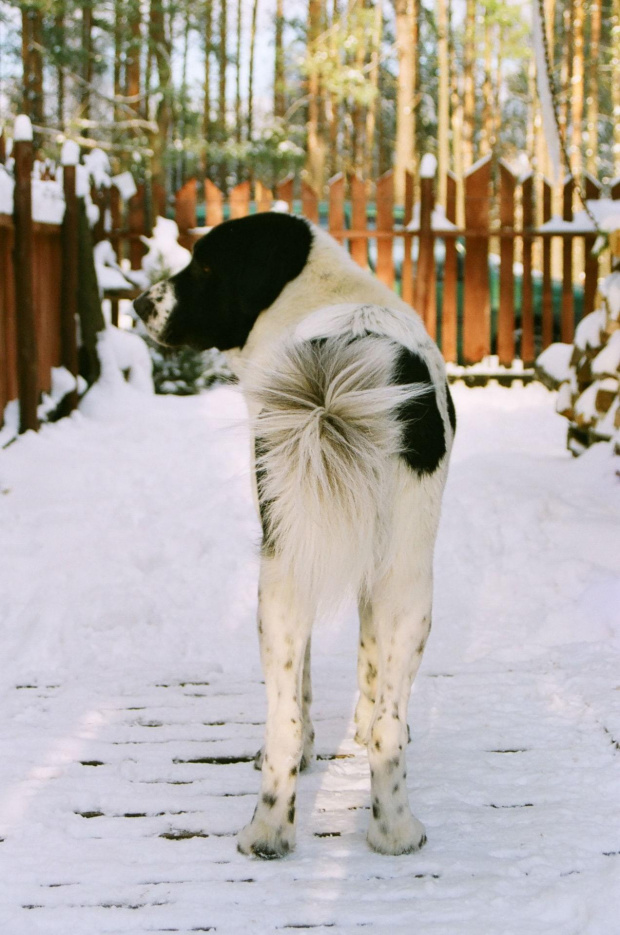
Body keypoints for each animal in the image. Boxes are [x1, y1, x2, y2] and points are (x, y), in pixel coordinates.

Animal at [134, 216, 456, 860]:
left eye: (204, 265)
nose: (137, 305)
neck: (319, 294)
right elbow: (368, 667)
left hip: (294, 571)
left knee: (284, 721)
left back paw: (274, 832)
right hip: (406, 576)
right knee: (382, 722)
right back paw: (392, 831)